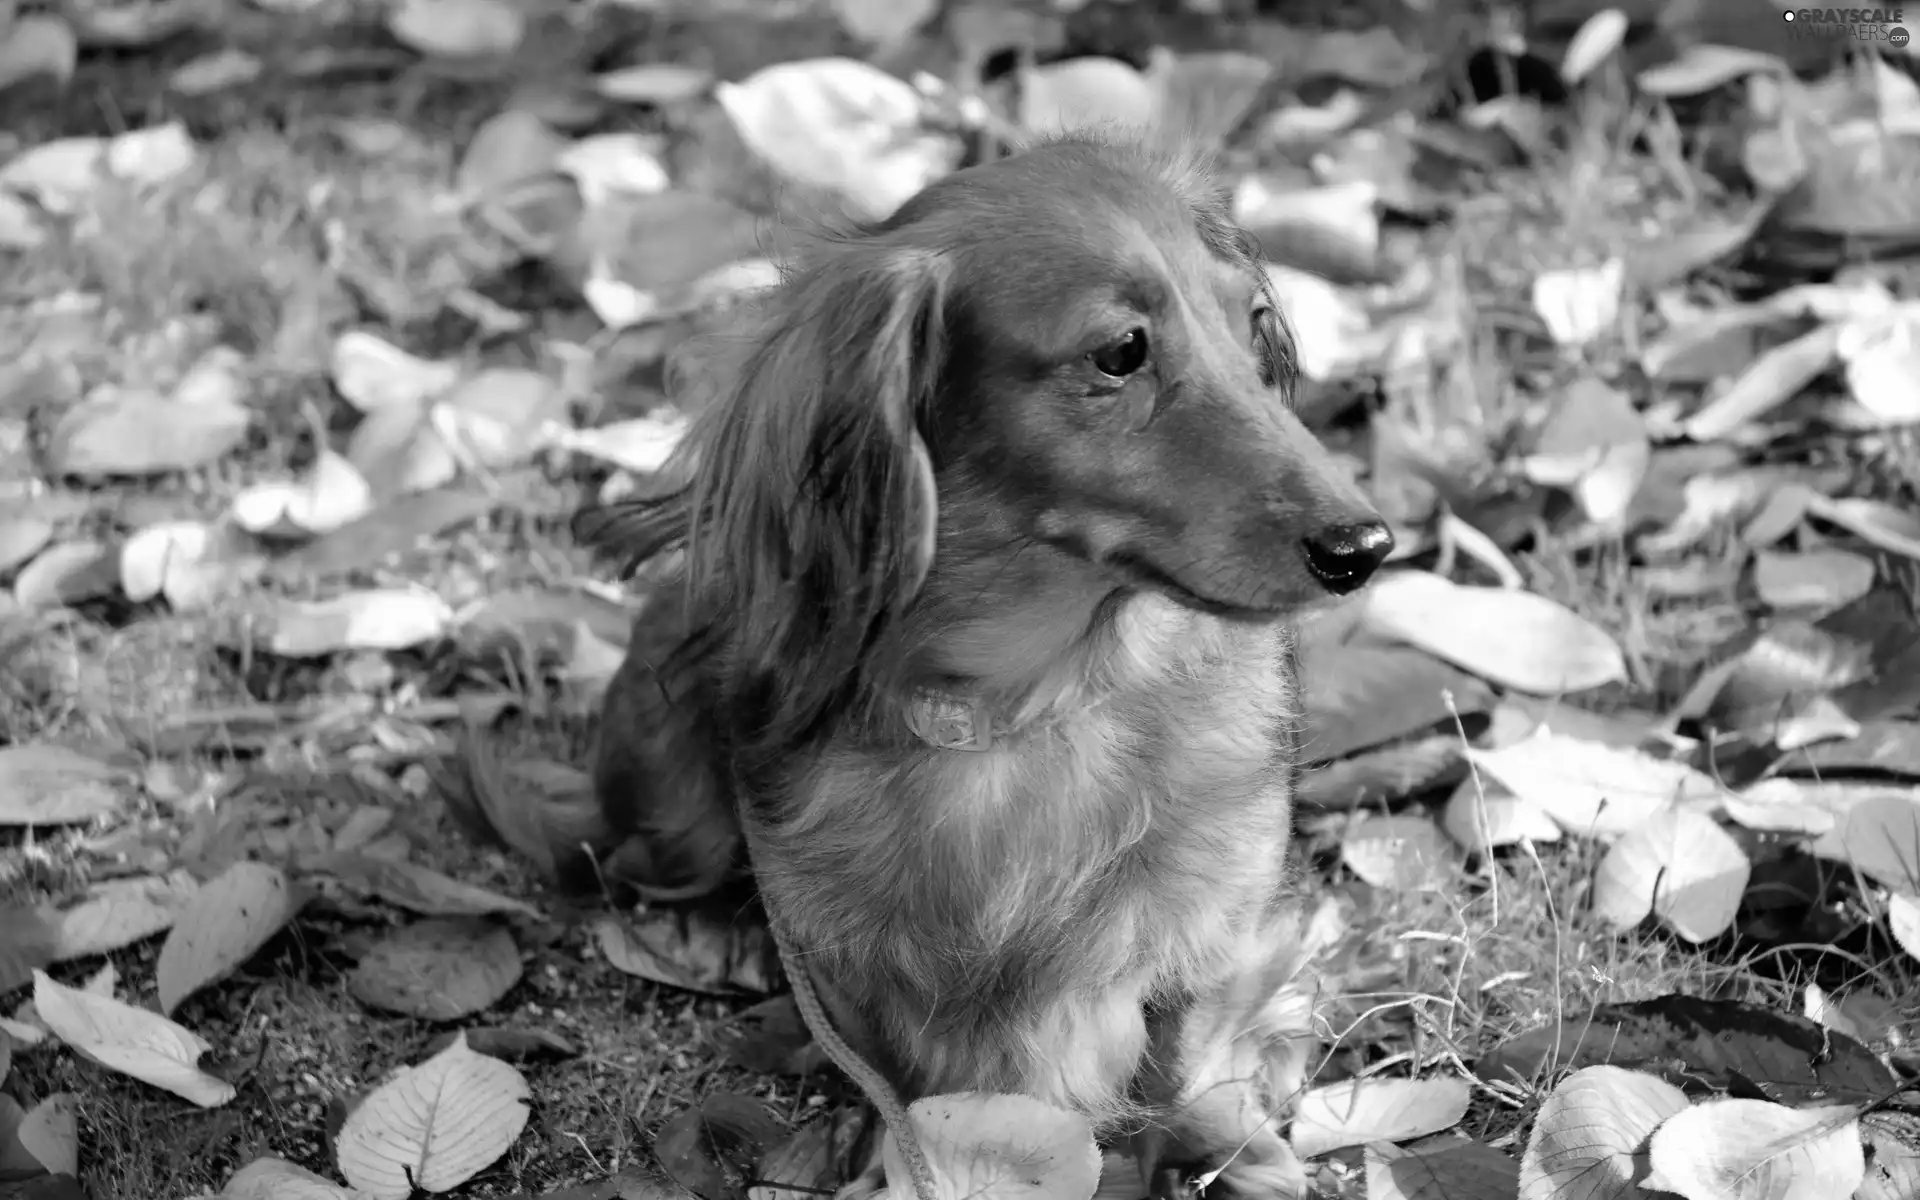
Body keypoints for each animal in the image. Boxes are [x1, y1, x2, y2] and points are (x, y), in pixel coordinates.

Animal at [549, 133, 1390, 1198]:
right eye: (1121, 352)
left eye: (1253, 327)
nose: (1363, 547)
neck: (1038, 702)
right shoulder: (837, 958)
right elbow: (899, 1078)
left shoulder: (1220, 926)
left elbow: (1180, 1054)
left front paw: (1213, 1148)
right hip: (672, 795)